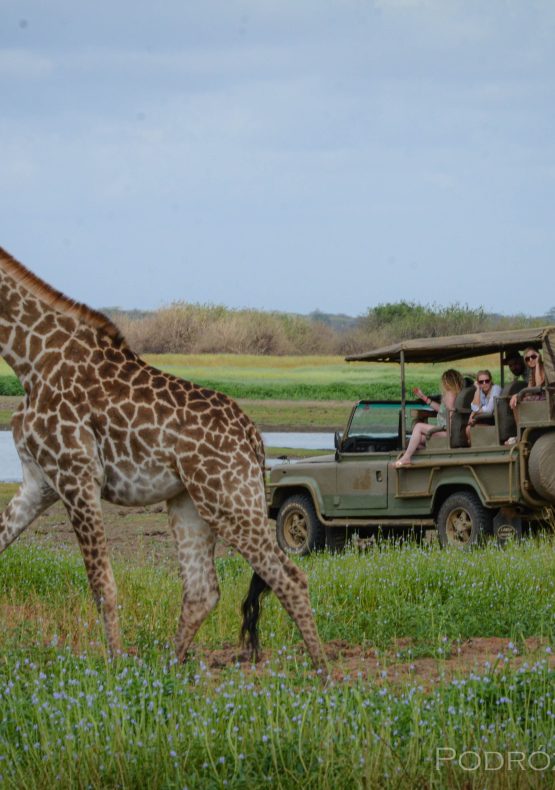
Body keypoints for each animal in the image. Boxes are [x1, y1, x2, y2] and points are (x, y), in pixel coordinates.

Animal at [0, 248, 326, 668]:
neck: (30, 361)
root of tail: (255, 438)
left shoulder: (76, 475)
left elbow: (102, 583)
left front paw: (114, 667)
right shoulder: (39, 481)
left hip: (227, 500)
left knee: (289, 577)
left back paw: (322, 672)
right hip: (190, 501)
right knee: (204, 589)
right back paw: (167, 669)